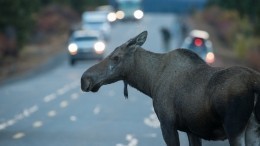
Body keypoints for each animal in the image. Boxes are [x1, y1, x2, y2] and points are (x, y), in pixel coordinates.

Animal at [81, 30, 260, 145]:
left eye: (116, 57)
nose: (85, 79)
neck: (150, 82)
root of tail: (254, 84)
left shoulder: (167, 123)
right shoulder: (191, 130)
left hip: (234, 128)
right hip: (253, 130)